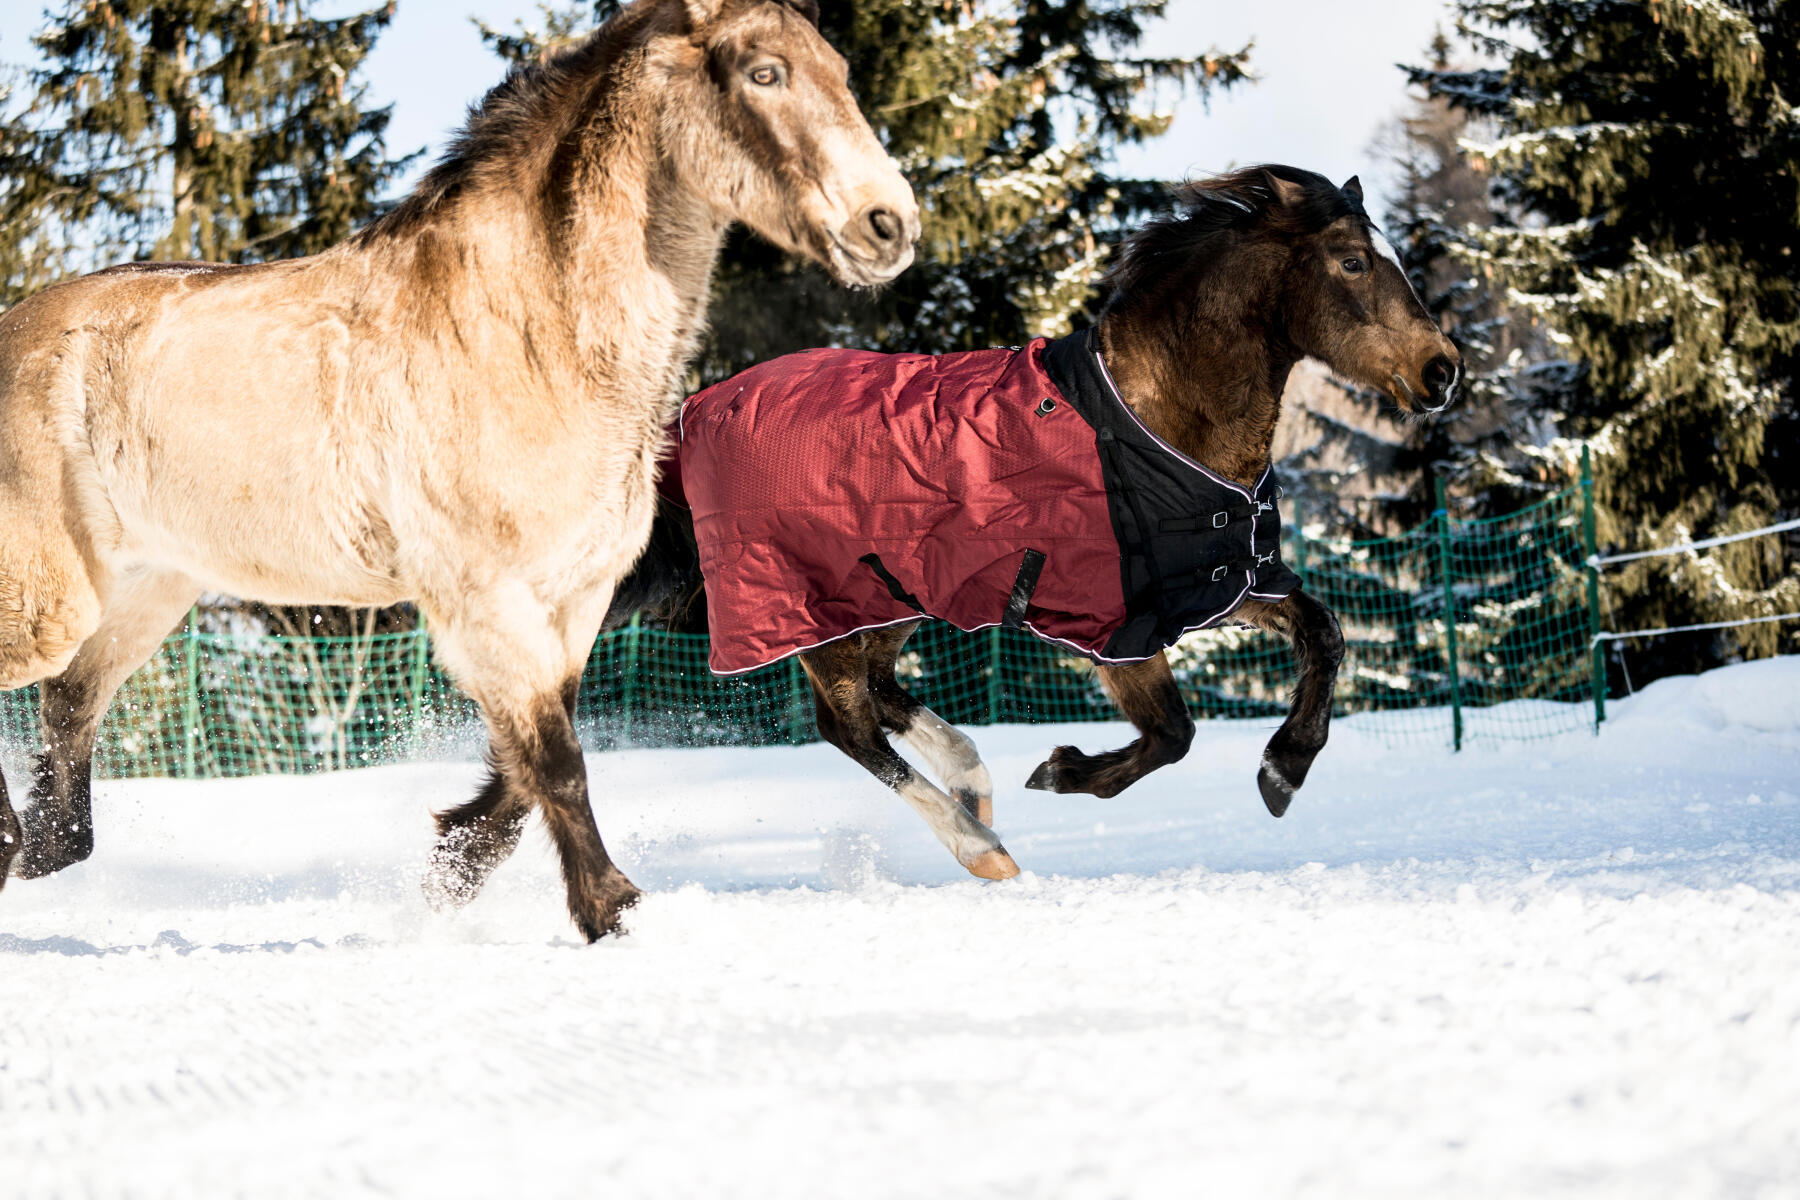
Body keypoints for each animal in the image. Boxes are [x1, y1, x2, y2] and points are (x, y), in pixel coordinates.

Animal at [0, 0, 921, 935]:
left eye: (841, 71)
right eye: (764, 73)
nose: (890, 226)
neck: (529, 336)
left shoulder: (574, 596)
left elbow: (529, 760)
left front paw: (454, 866)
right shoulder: (483, 596)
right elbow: (556, 759)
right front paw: (609, 909)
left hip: (144, 592)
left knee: (65, 759)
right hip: (50, 599)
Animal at [604, 166, 1461, 874]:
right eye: (1352, 261)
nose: (1443, 371)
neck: (1158, 422)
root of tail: (693, 416)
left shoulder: (1218, 585)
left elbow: (1325, 633)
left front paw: (1283, 769)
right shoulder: (1117, 629)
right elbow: (1172, 734)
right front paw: (1061, 769)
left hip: (884, 600)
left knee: (882, 700)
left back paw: (974, 783)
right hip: (812, 613)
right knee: (848, 727)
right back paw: (979, 844)